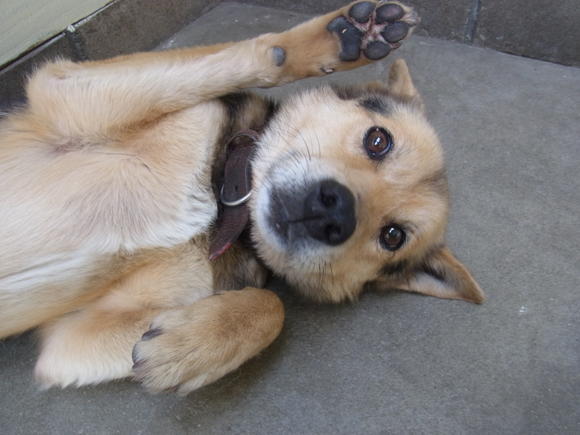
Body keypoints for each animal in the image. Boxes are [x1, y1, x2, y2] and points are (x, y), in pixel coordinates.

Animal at [0, 0, 482, 396]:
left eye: (393, 236)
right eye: (378, 141)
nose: (334, 212)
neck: (221, 201)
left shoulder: (71, 342)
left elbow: (273, 307)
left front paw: (189, 346)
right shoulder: (65, 87)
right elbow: (252, 57)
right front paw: (340, 38)